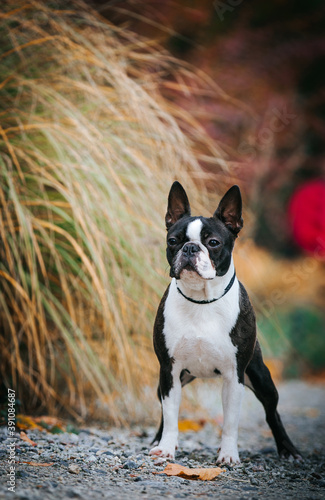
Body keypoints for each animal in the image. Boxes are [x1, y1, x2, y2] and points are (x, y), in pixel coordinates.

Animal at [148, 181, 300, 464]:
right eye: (173, 241)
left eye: (213, 242)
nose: (190, 248)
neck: (202, 301)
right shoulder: (169, 371)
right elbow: (171, 415)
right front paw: (166, 447)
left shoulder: (234, 375)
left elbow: (230, 422)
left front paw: (228, 454)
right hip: (171, 381)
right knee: (164, 410)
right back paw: (157, 440)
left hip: (261, 377)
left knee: (272, 413)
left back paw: (288, 449)